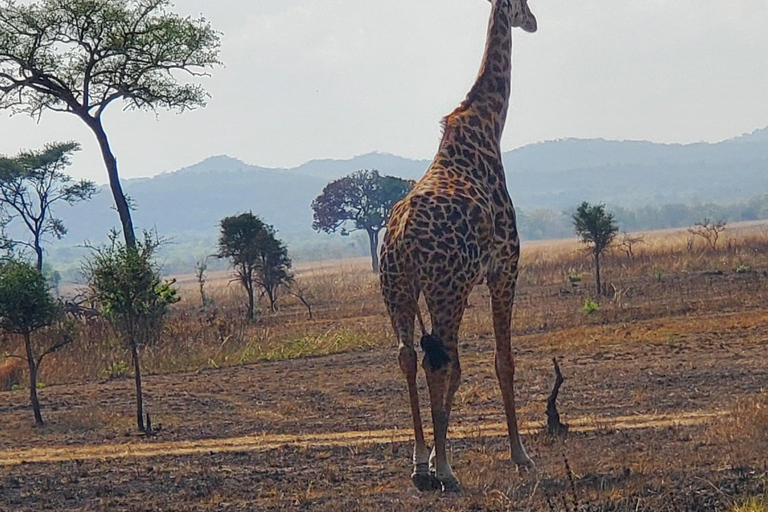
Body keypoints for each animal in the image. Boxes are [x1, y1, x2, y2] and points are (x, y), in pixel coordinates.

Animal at [380, 0, 536, 492]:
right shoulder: (505, 268)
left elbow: (461, 365)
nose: (534, 21)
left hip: (399, 289)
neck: (489, 127)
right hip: (443, 290)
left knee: (409, 355)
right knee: (435, 361)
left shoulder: (469, 283)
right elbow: (503, 360)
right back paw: (446, 470)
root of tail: (402, 238)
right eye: (525, 4)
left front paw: (432, 455)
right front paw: (521, 455)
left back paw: (420, 464)